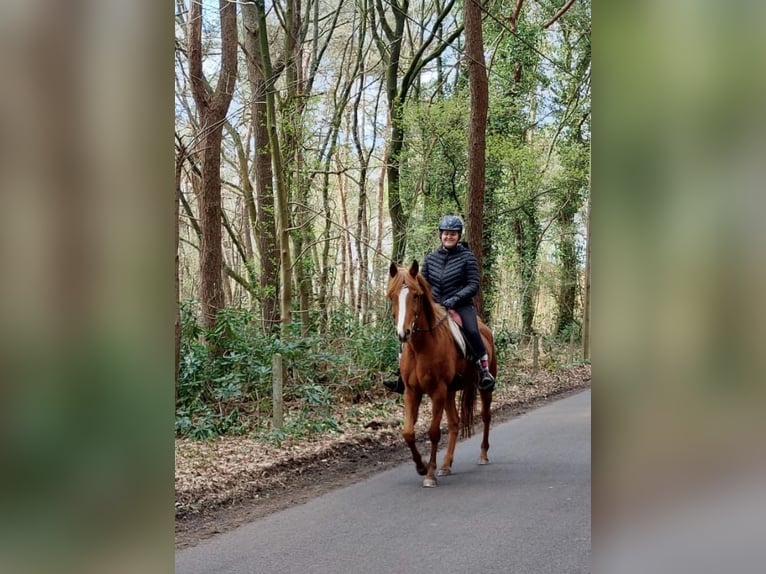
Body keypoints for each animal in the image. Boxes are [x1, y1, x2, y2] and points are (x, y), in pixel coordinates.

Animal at [387, 260, 496, 487]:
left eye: (416, 295)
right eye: (392, 295)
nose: (403, 334)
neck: (421, 347)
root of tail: (485, 329)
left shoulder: (437, 391)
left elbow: (434, 432)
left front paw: (429, 474)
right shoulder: (412, 392)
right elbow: (408, 432)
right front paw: (421, 466)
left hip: (481, 389)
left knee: (485, 416)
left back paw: (482, 455)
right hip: (450, 392)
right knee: (454, 424)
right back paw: (446, 465)